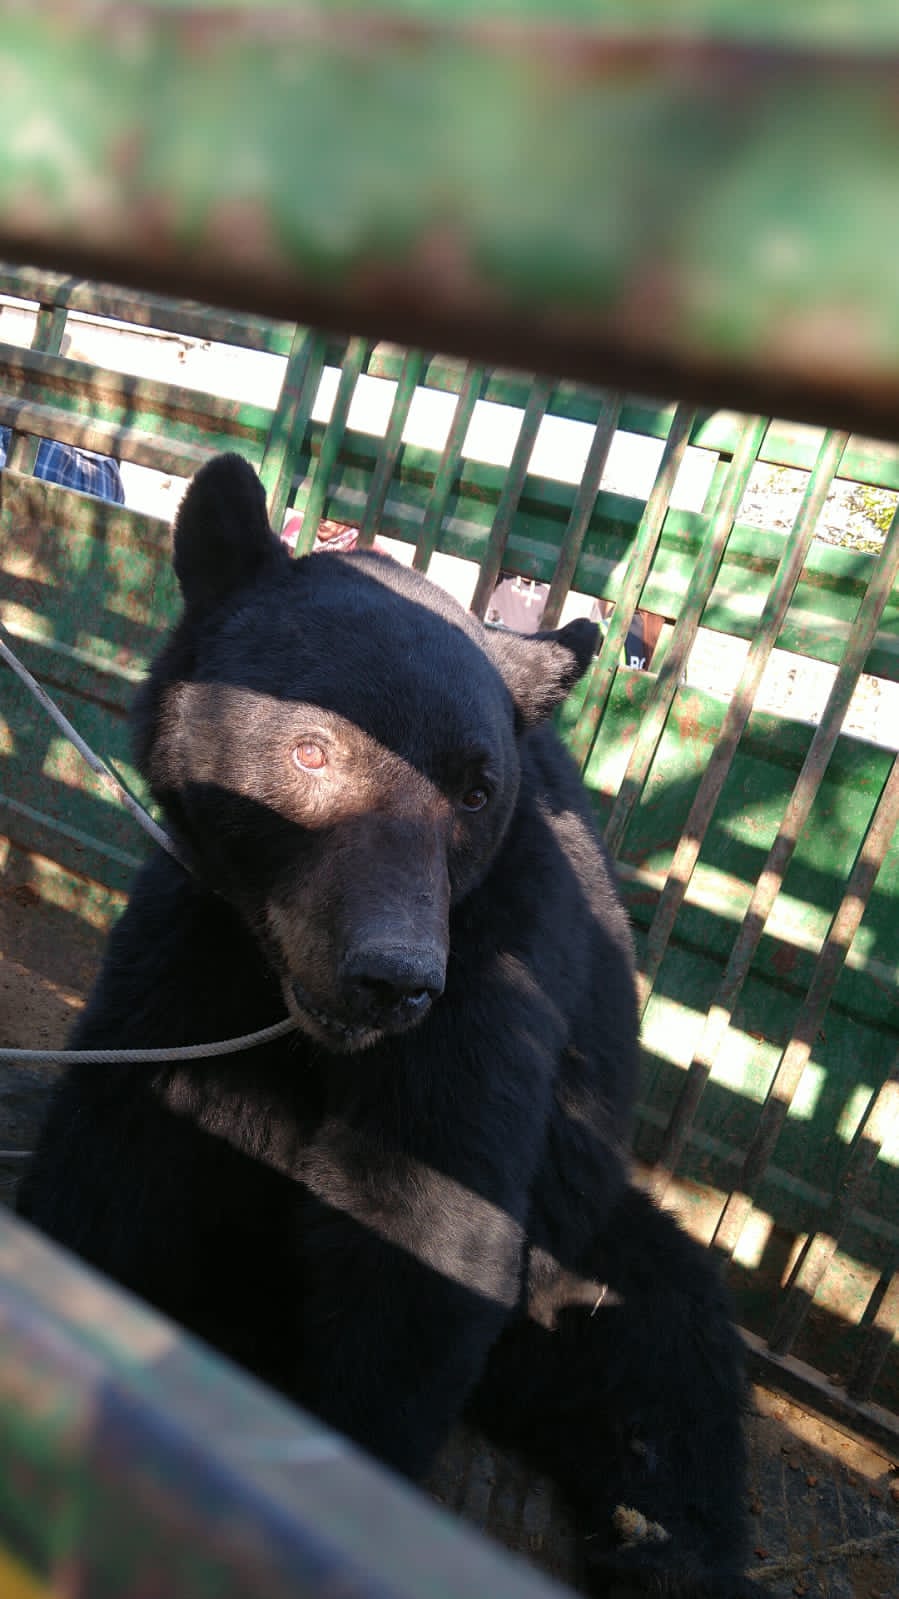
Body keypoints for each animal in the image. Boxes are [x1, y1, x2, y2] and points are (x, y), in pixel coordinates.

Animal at [19, 454, 756, 1597]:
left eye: (476, 788)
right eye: (310, 750)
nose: (393, 978)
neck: (291, 1001)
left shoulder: (493, 975)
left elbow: (422, 1225)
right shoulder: (198, 931)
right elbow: (120, 1140)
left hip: (589, 1244)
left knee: (670, 1365)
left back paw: (662, 1544)